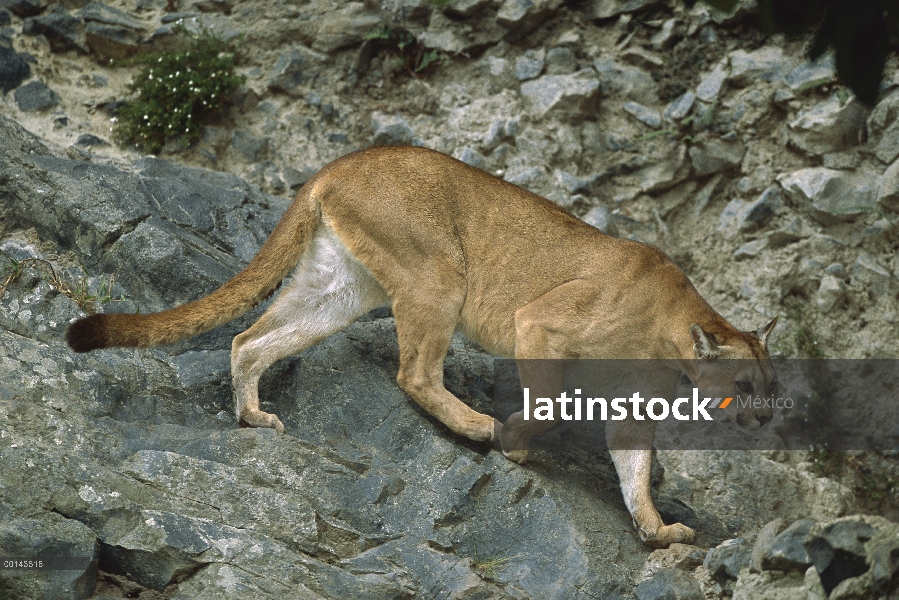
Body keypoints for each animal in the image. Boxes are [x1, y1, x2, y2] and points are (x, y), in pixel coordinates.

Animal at [68, 145, 780, 548]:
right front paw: (515, 443)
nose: (767, 419)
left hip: (342, 286)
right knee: (412, 373)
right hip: (440, 273)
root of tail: (346, 160)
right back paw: (476, 425)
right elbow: (548, 399)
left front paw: (657, 531)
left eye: (773, 388)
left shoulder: (628, 401)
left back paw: (252, 413)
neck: (672, 328)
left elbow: (633, 468)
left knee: (250, 336)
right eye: (747, 386)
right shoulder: (540, 321)